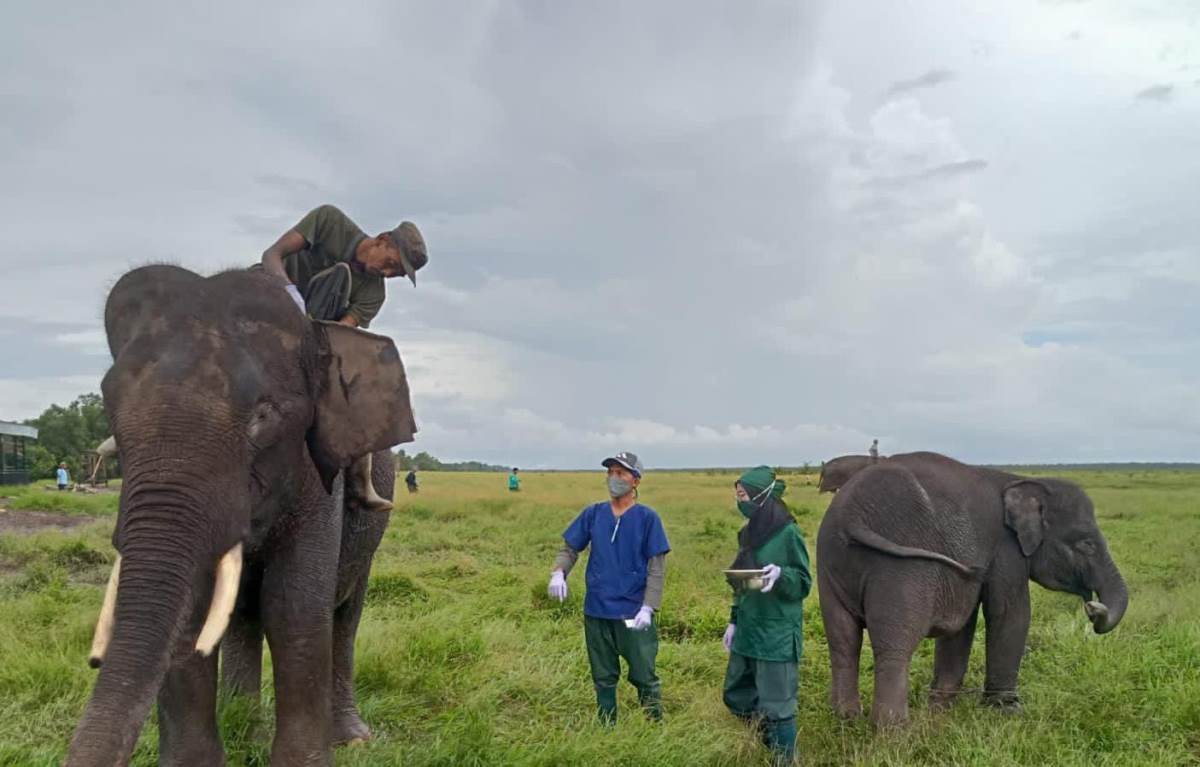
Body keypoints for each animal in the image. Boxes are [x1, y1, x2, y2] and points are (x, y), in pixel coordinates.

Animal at [65, 265, 415, 767]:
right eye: (109, 407)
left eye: (264, 416)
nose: (95, 660)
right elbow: (193, 610)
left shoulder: (317, 470)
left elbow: (293, 604)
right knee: (241, 615)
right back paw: (245, 729)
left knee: (344, 614)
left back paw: (350, 738)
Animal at [816, 453, 1123, 729]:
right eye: (1086, 544)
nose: (1092, 608)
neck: (1019, 481)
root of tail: (852, 515)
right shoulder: (1005, 548)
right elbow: (1010, 612)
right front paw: (1008, 712)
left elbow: (963, 624)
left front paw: (940, 709)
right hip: (900, 567)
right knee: (895, 645)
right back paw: (894, 733)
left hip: (830, 561)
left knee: (842, 640)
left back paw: (847, 719)